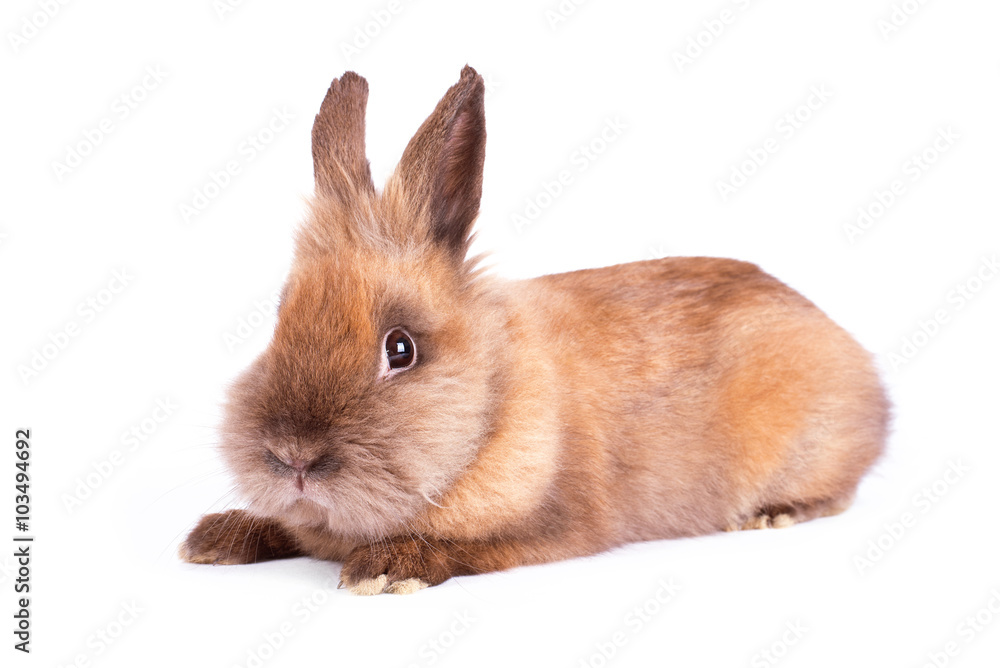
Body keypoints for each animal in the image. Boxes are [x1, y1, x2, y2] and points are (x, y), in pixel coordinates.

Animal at [179, 65, 890, 595]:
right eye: (278, 321)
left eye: (400, 348)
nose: (293, 456)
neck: (491, 403)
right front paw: (212, 541)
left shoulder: (559, 528)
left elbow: (473, 548)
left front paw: (386, 569)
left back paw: (771, 515)